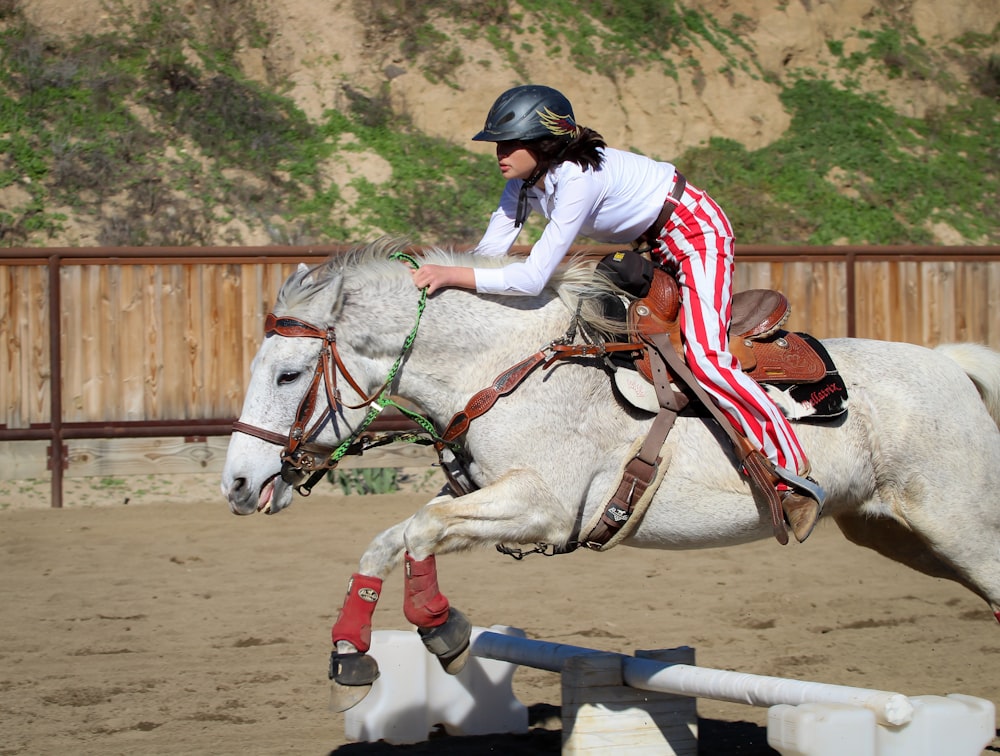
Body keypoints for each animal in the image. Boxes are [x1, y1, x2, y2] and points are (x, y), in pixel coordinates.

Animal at [221, 241, 1000, 704]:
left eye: (288, 374)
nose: (237, 485)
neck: (497, 368)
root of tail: (951, 364)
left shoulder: (542, 508)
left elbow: (421, 528)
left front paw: (442, 628)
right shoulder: (487, 497)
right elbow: (388, 539)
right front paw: (352, 653)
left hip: (960, 527)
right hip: (896, 534)